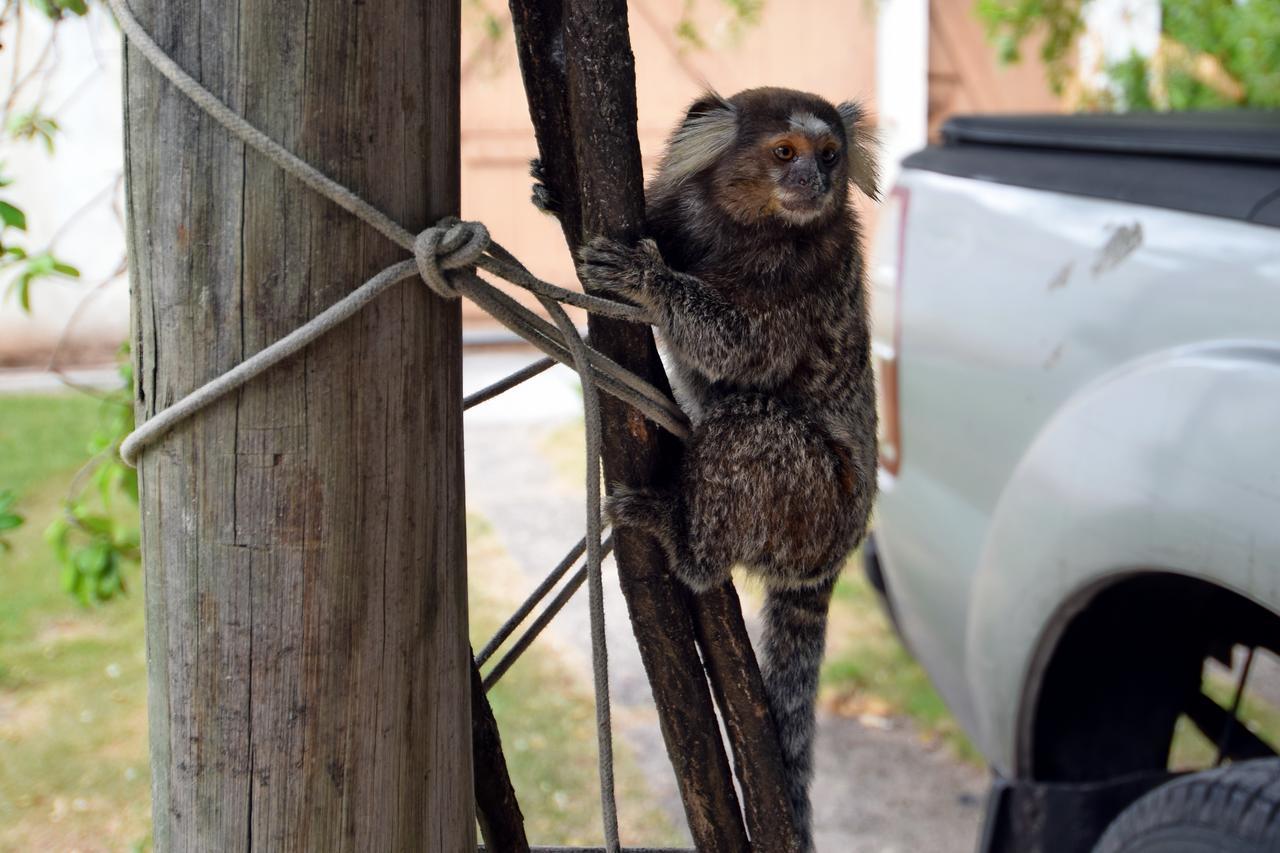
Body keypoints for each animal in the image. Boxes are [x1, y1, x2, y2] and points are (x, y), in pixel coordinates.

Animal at [532, 86, 880, 845]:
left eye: (829, 155)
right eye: (785, 152)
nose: (814, 181)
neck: (742, 228)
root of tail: (838, 552)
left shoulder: (803, 275)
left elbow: (741, 347)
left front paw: (649, 282)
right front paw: (551, 188)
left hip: (814, 505)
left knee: (746, 425)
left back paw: (686, 543)